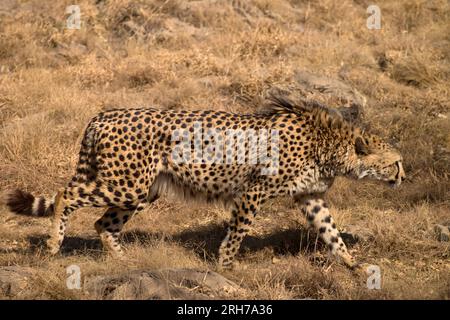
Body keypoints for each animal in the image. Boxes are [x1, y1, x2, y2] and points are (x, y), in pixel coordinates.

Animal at [4, 95, 404, 270]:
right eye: (395, 163)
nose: (404, 176)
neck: (330, 143)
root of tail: (103, 114)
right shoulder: (253, 192)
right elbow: (238, 231)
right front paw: (225, 264)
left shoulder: (310, 198)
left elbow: (330, 231)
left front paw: (352, 263)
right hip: (126, 183)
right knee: (65, 194)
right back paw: (54, 244)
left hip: (141, 191)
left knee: (104, 223)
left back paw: (124, 260)